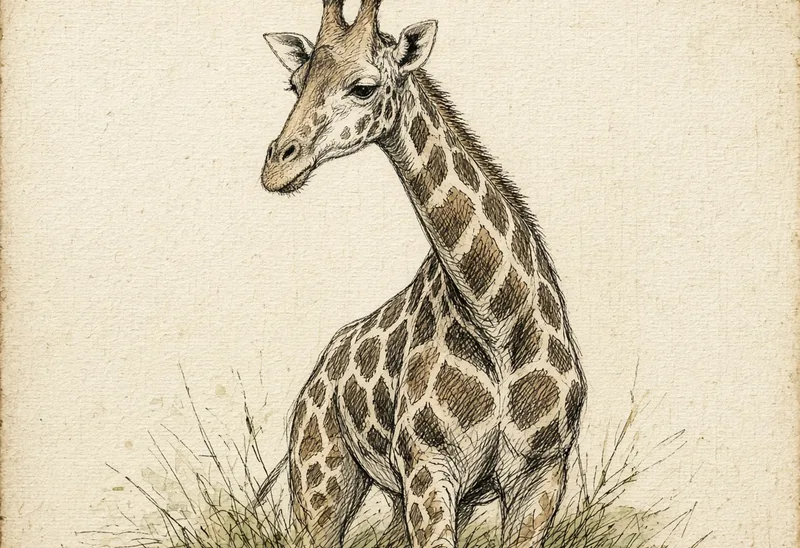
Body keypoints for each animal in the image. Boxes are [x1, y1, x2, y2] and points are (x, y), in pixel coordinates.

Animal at [257, 2, 586, 547]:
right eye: (294, 83)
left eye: (364, 87)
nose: (278, 166)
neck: (496, 317)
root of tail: (315, 379)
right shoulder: (429, 469)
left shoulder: (541, 473)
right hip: (321, 478)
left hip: (390, 493)